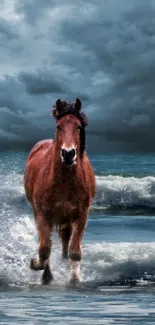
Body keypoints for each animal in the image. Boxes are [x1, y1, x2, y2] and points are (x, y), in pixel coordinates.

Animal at [23, 98, 95, 284]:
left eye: (78, 126)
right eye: (59, 126)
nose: (68, 154)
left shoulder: (81, 215)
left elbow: (74, 251)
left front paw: (74, 280)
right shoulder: (43, 214)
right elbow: (44, 248)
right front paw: (36, 266)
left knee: (65, 241)